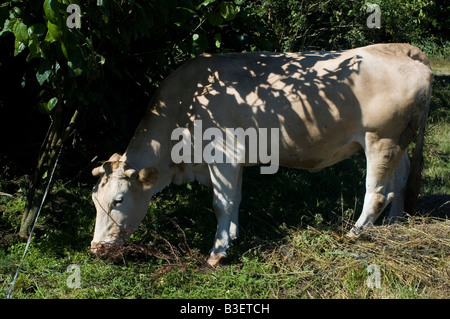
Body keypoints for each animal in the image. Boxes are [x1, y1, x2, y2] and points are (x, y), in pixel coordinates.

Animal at [89, 43, 430, 268]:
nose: (96, 249)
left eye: (118, 200)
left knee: (377, 192)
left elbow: (221, 202)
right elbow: (235, 199)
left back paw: (355, 233)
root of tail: (398, 49)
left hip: (380, 138)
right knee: (399, 180)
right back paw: (395, 223)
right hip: (399, 140)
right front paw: (233, 235)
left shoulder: (222, 154)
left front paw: (218, 252)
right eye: (94, 199)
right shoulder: (233, 161)